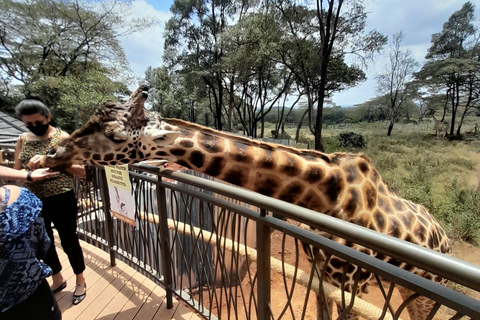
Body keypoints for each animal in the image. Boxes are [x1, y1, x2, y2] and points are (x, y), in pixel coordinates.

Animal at [40, 85, 450, 320]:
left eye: (112, 134)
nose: (53, 152)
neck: (325, 196)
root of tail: (444, 238)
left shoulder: (352, 282)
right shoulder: (324, 277)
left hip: (424, 290)